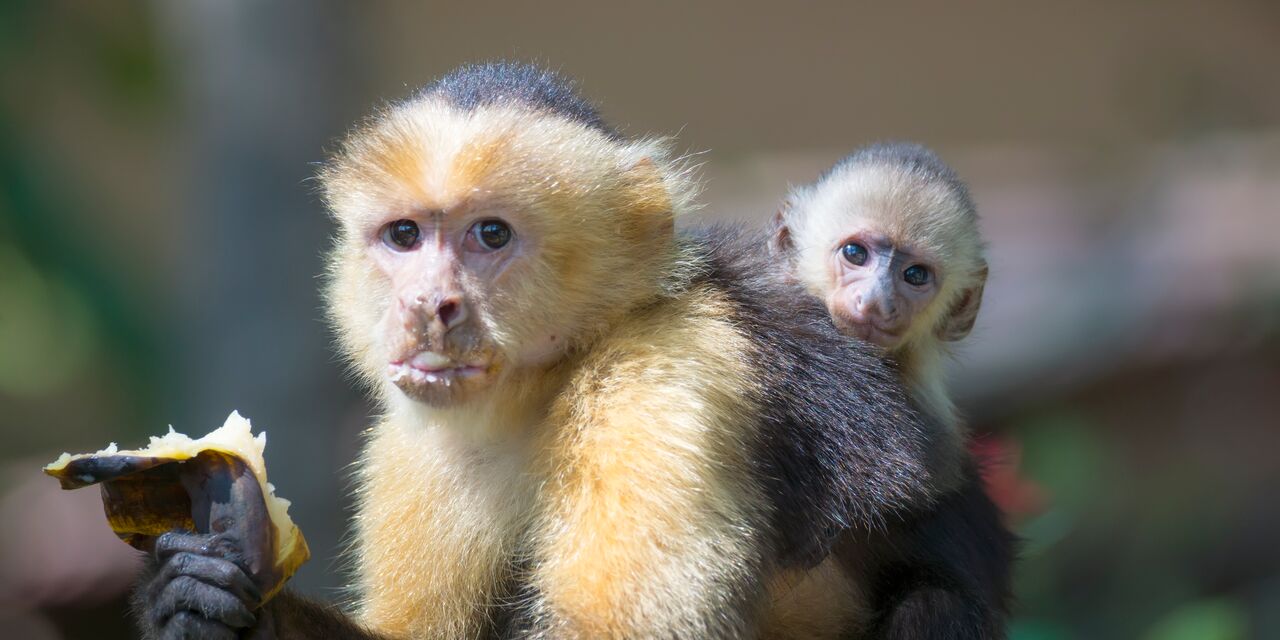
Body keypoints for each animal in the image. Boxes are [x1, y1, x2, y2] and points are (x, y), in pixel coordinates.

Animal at [132, 61, 967, 640]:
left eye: (490, 235)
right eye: (404, 236)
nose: (430, 306)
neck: (536, 395)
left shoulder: (663, 374)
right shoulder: (412, 447)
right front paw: (203, 596)